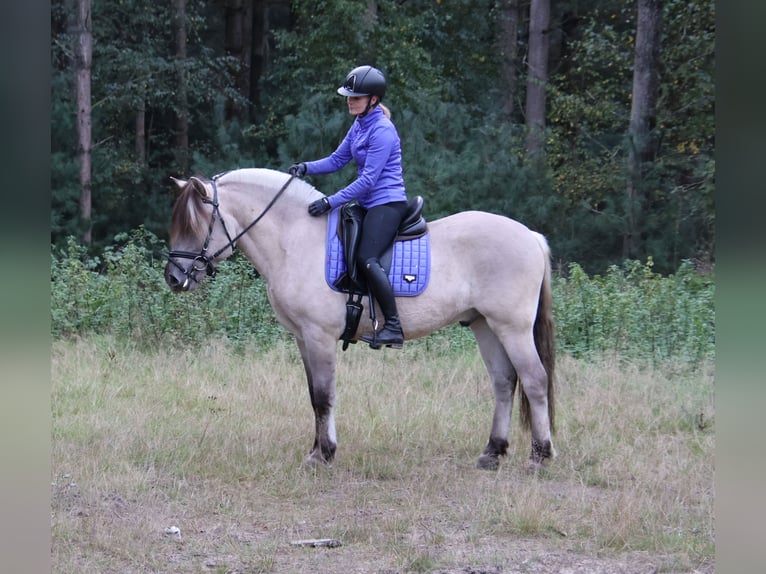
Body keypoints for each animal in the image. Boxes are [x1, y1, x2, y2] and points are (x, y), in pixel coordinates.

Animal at [164, 168, 556, 472]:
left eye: (195, 225)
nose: (173, 277)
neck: (295, 240)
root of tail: (531, 236)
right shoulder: (303, 338)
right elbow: (313, 396)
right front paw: (316, 449)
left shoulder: (319, 336)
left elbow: (324, 395)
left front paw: (323, 455)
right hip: (484, 325)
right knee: (504, 382)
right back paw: (493, 452)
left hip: (512, 328)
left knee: (535, 381)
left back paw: (540, 456)